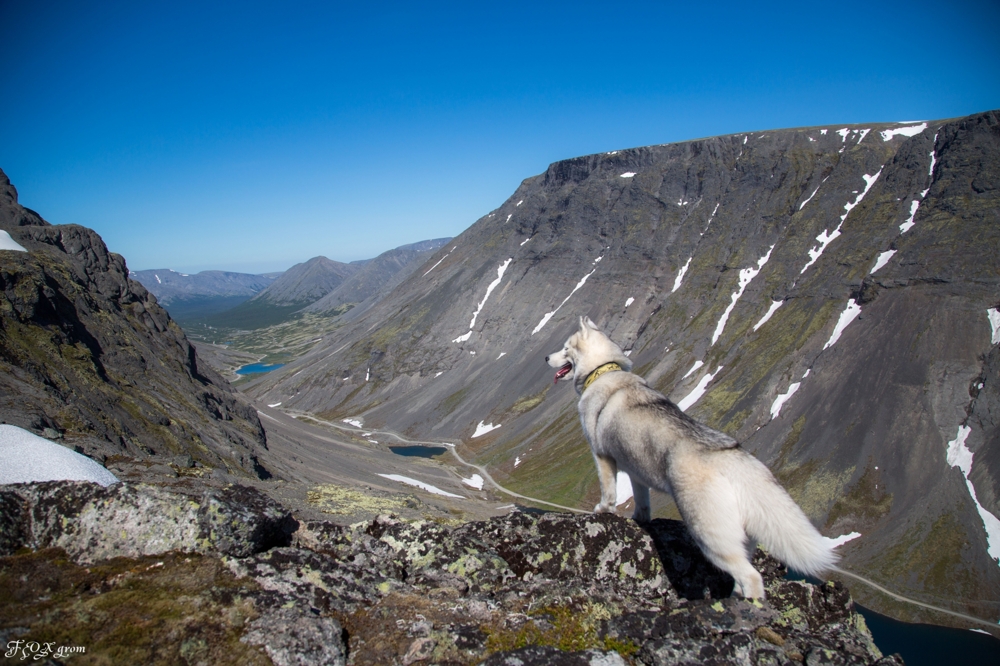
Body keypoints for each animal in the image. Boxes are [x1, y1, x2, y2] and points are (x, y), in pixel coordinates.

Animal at [548, 316, 836, 596]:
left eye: (565, 348)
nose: (545, 358)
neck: (602, 371)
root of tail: (729, 456)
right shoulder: (636, 471)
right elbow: (642, 501)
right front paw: (640, 519)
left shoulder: (602, 456)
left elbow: (608, 491)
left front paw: (603, 510)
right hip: (741, 537)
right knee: (744, 574)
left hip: (709, 534)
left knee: (751, 577)